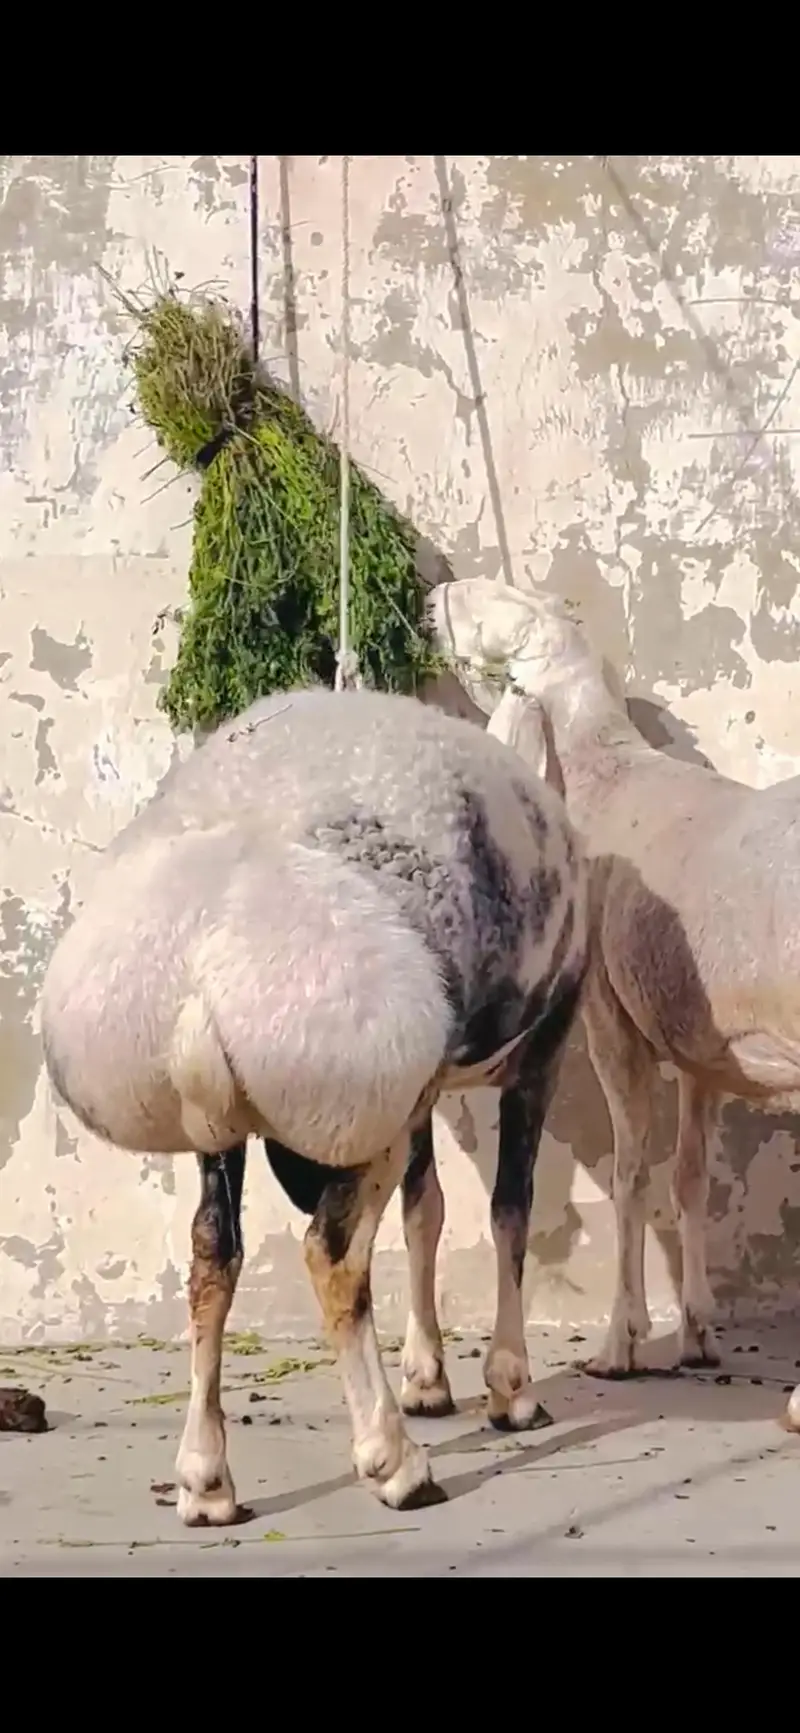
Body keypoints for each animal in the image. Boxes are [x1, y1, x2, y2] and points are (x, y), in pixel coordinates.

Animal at [40, 683, 588, 1523]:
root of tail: (202, 976)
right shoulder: (537, 1058)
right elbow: (508, 1214)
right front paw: (510, 1388)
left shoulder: (422, 1092)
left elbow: (426, 1210)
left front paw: (429, 1376)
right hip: (361, 1096)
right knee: (330, 1256)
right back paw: (395, 1462)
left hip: (247, 1120)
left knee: (212, 1254)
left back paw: (205, 1478)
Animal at [433, 575, 800, 1430]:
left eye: (499, 603)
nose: (436, 596)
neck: (601, 763)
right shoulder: (700, 1043)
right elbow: (690, 1176)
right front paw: (696, 1330)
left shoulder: (612, 1017)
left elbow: (633, 1173)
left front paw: (620, 1342)